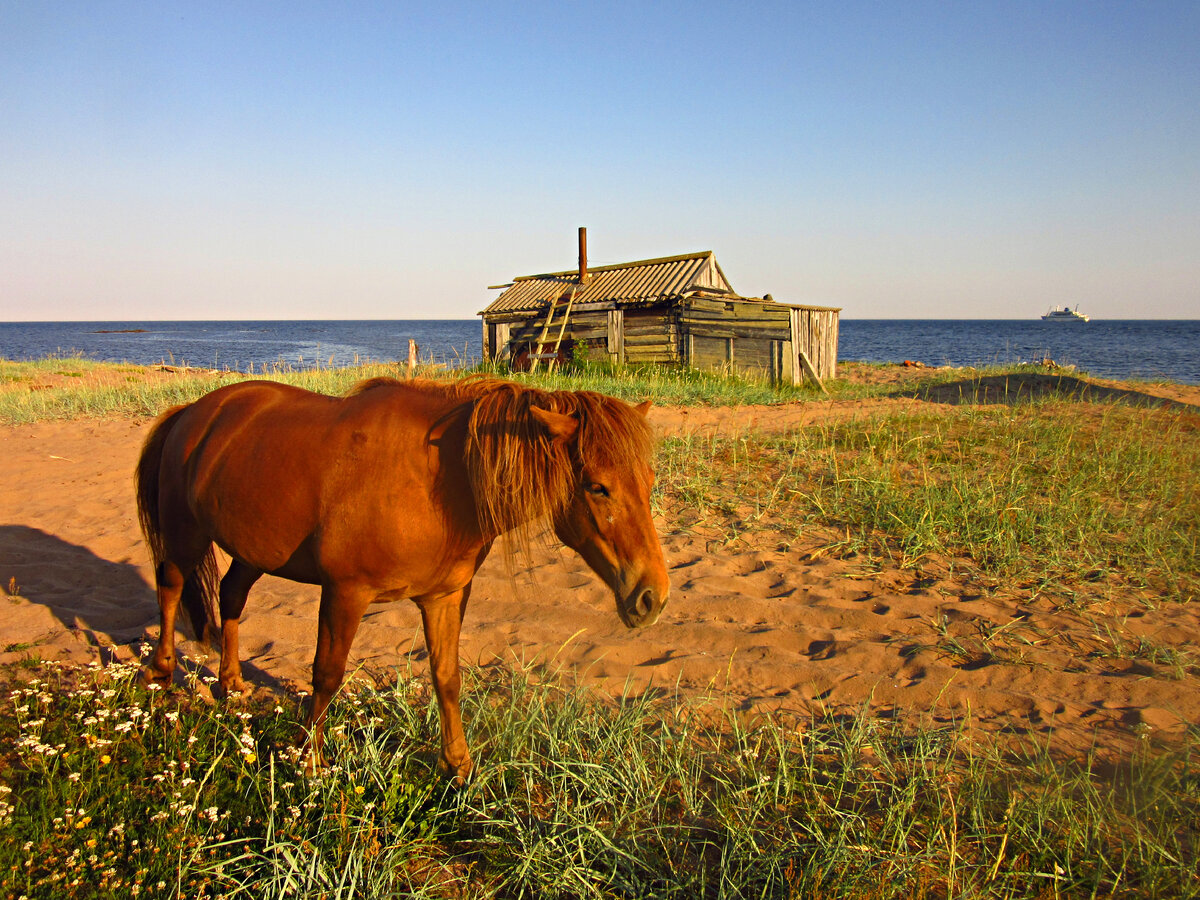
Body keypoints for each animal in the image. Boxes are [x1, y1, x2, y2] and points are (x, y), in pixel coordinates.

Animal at [136, 376, 672, 777]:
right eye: (598, 487)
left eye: (648, 481)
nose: (653, 597)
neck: (441, 481)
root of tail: (193, 411)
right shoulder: (345, 593)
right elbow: (326, 675)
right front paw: (309, 762)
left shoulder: (444, 596)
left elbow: (447, 677)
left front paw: (458, 768)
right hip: (185, 535)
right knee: (171, 587)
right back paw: (161, 674)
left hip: (254, 549)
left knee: (231, 596)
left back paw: (230, 683)